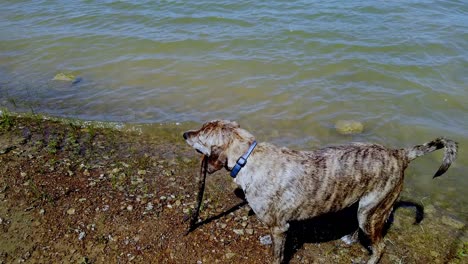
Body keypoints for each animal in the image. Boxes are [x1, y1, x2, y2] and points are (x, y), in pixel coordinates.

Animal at [182, 120, 458, 264]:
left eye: (201, 135)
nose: (184, 133)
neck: (248, 157)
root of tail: (399, 154)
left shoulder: (280, 228)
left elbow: (276, 254)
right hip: (365, 208)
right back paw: (350, 238)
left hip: (371, 210)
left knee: (380, 247)